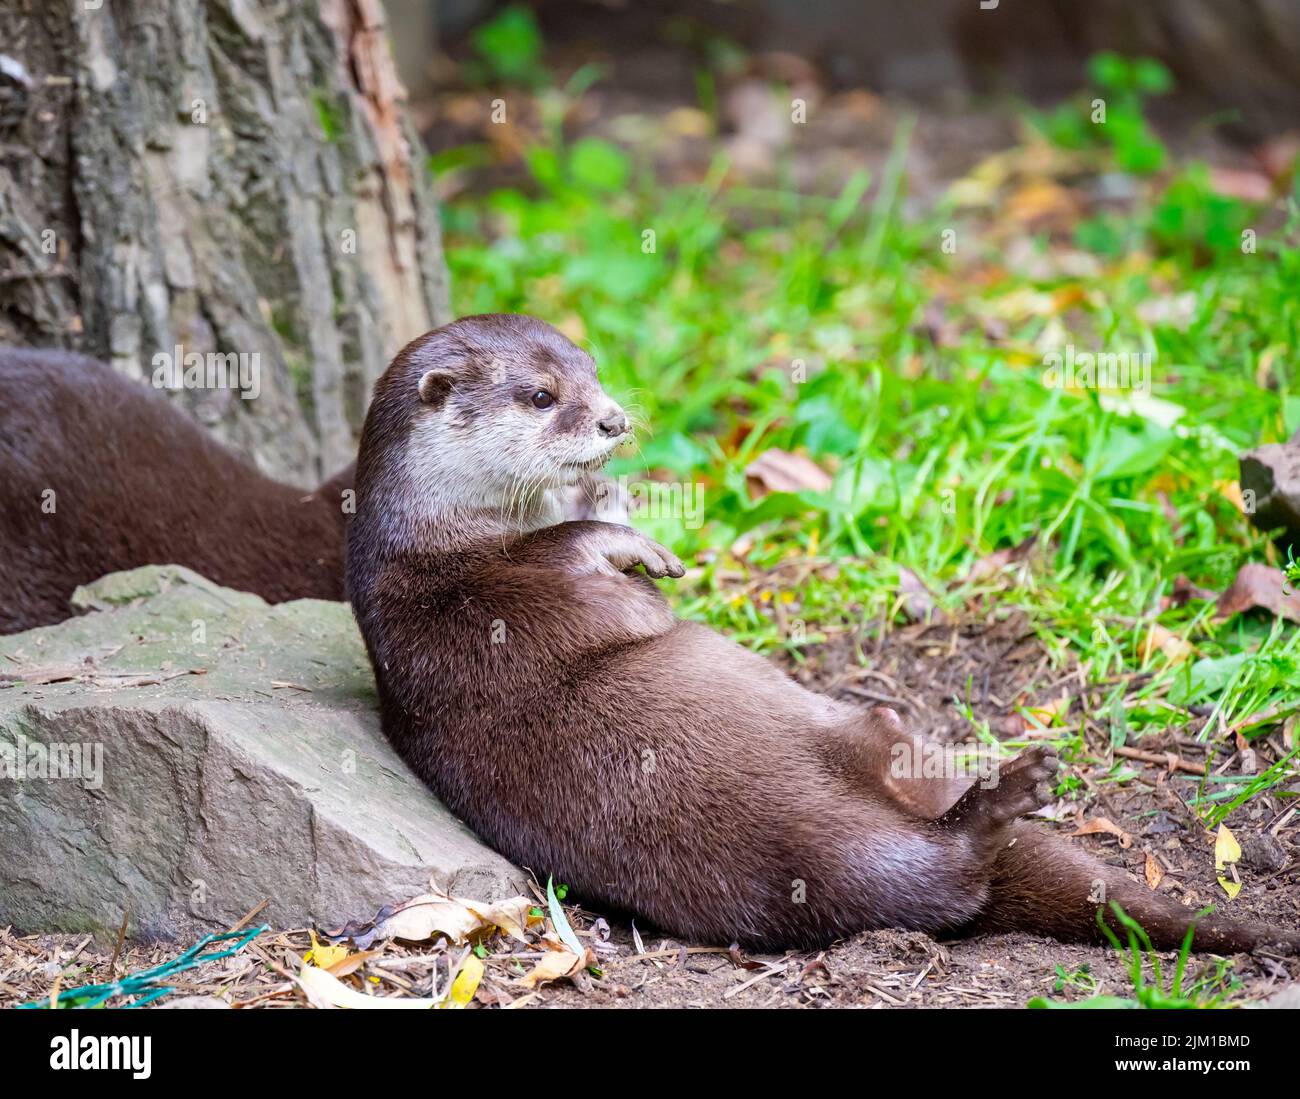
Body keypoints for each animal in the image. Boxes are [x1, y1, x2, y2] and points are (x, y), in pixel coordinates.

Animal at [347, 314, 1300, 954]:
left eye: (591, 370)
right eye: (541, 396)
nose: (614, 418)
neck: (441, 540)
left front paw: (624, 504)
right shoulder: (479, 595)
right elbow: (589, 571)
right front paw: (632, 541)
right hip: (820, 853)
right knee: (938, 879)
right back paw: (1011, 793)